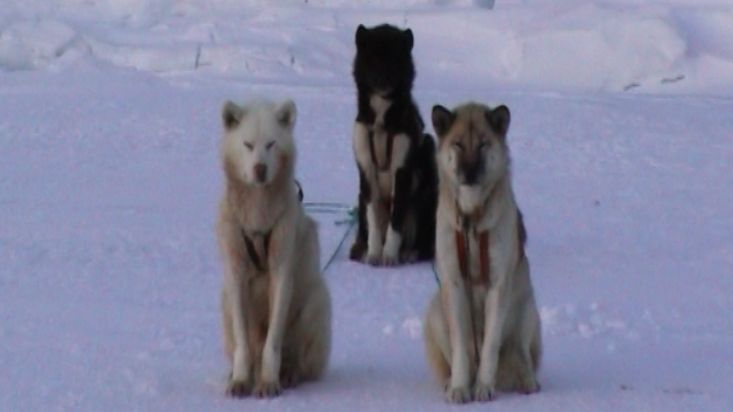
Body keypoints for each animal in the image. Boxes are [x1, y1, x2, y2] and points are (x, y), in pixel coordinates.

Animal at [420, 102, 540, 402]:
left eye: (484, 144)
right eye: (459, 144)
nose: (470, 172)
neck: (472, 221)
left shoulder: (498, 284)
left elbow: (490, 347)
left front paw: (484, 387)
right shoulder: (454, 283)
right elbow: (461, 348)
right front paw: (460, 387)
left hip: (526, 307)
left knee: (519, 352)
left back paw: (527, 380)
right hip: (436, 311)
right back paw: (450, 381)